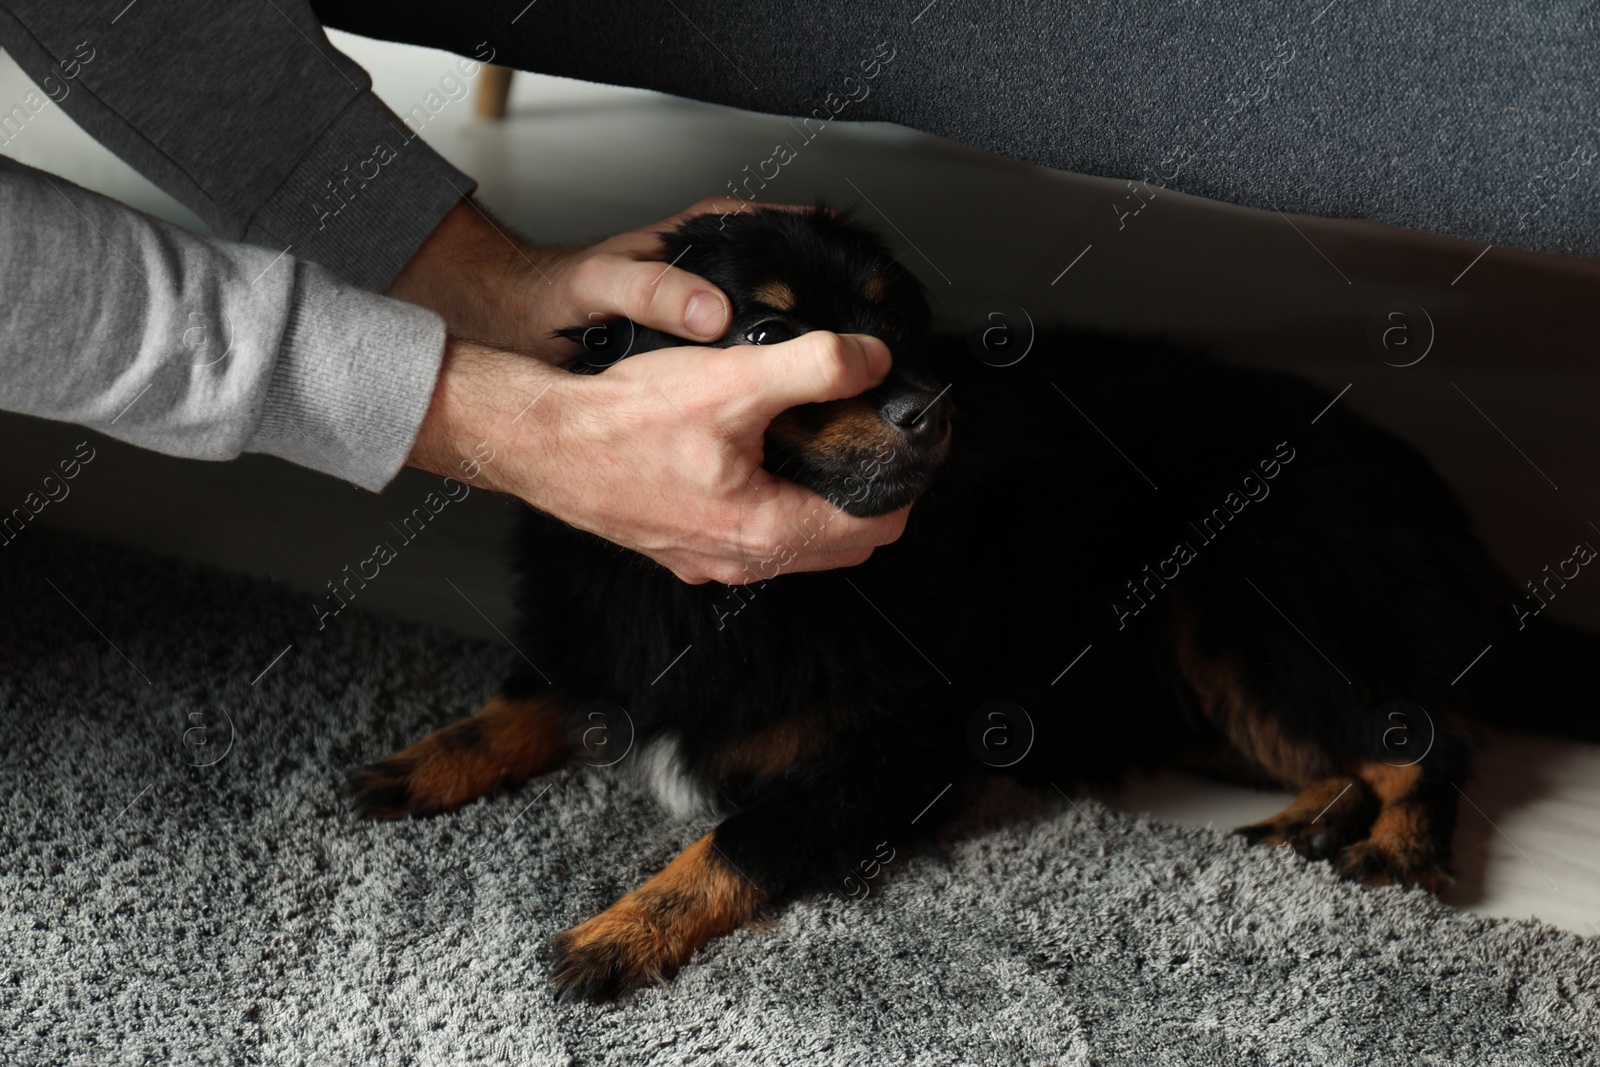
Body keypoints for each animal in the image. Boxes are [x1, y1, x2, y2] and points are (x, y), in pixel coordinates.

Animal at [356, 202, 1600, 1004]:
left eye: (893, 329)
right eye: (769, 336)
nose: (930, 410)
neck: (743, 595)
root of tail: (1448, 520)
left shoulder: (893, 756)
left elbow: (737, 836)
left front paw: (618, 931)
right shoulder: (601, 628)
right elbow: (523, 700)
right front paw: (421, 762)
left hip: (1252, 604)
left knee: (1425, 733)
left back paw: (1393, 850)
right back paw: (1314, 819)